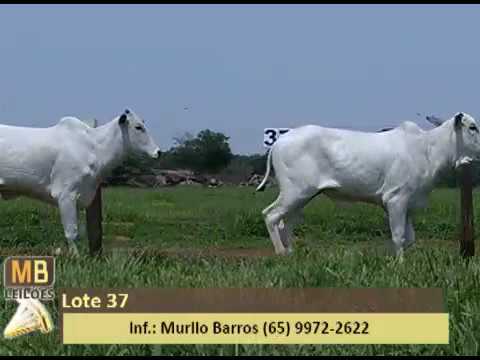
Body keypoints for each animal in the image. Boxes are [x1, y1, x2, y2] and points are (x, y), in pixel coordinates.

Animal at [0, 108, 161, 255]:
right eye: (138, 127)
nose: (158, 152)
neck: (94, 148)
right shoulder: (66, 194)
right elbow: (72, 232)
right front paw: (75, 257)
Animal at [256, 112, 480, 256]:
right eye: (472, 127)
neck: (428, 150)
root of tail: (279, 141)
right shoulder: (395, 199)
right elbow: (398, 236)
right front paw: (399, 264)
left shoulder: (409, 204)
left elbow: (410, 238)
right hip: (294, 192)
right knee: (271, 215)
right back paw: (281, 252)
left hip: (302, 197)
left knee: (287, 222)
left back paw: (291, 254)